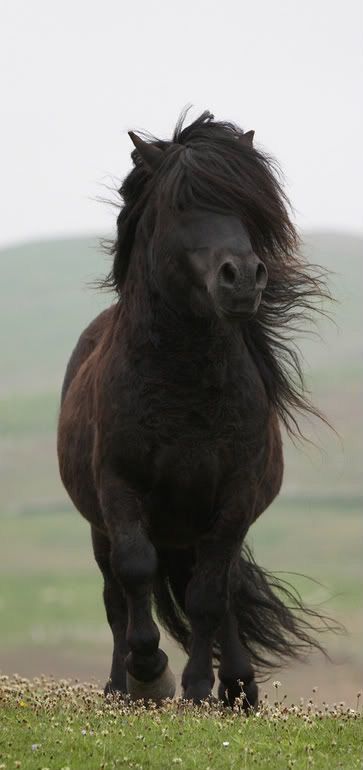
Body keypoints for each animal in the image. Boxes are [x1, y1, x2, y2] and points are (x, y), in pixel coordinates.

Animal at [58, 111, 332, 704]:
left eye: (247, 205)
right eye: (183, 206)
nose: (244, 277)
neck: (185, 393)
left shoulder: (234, 498)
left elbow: (208, 595)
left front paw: (201, 683)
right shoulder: (119, 487)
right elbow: (136, 573)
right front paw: (149, 669)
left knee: (217, 590)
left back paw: (238, 686)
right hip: (104, 528)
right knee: (117, 598)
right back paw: (121, 686)